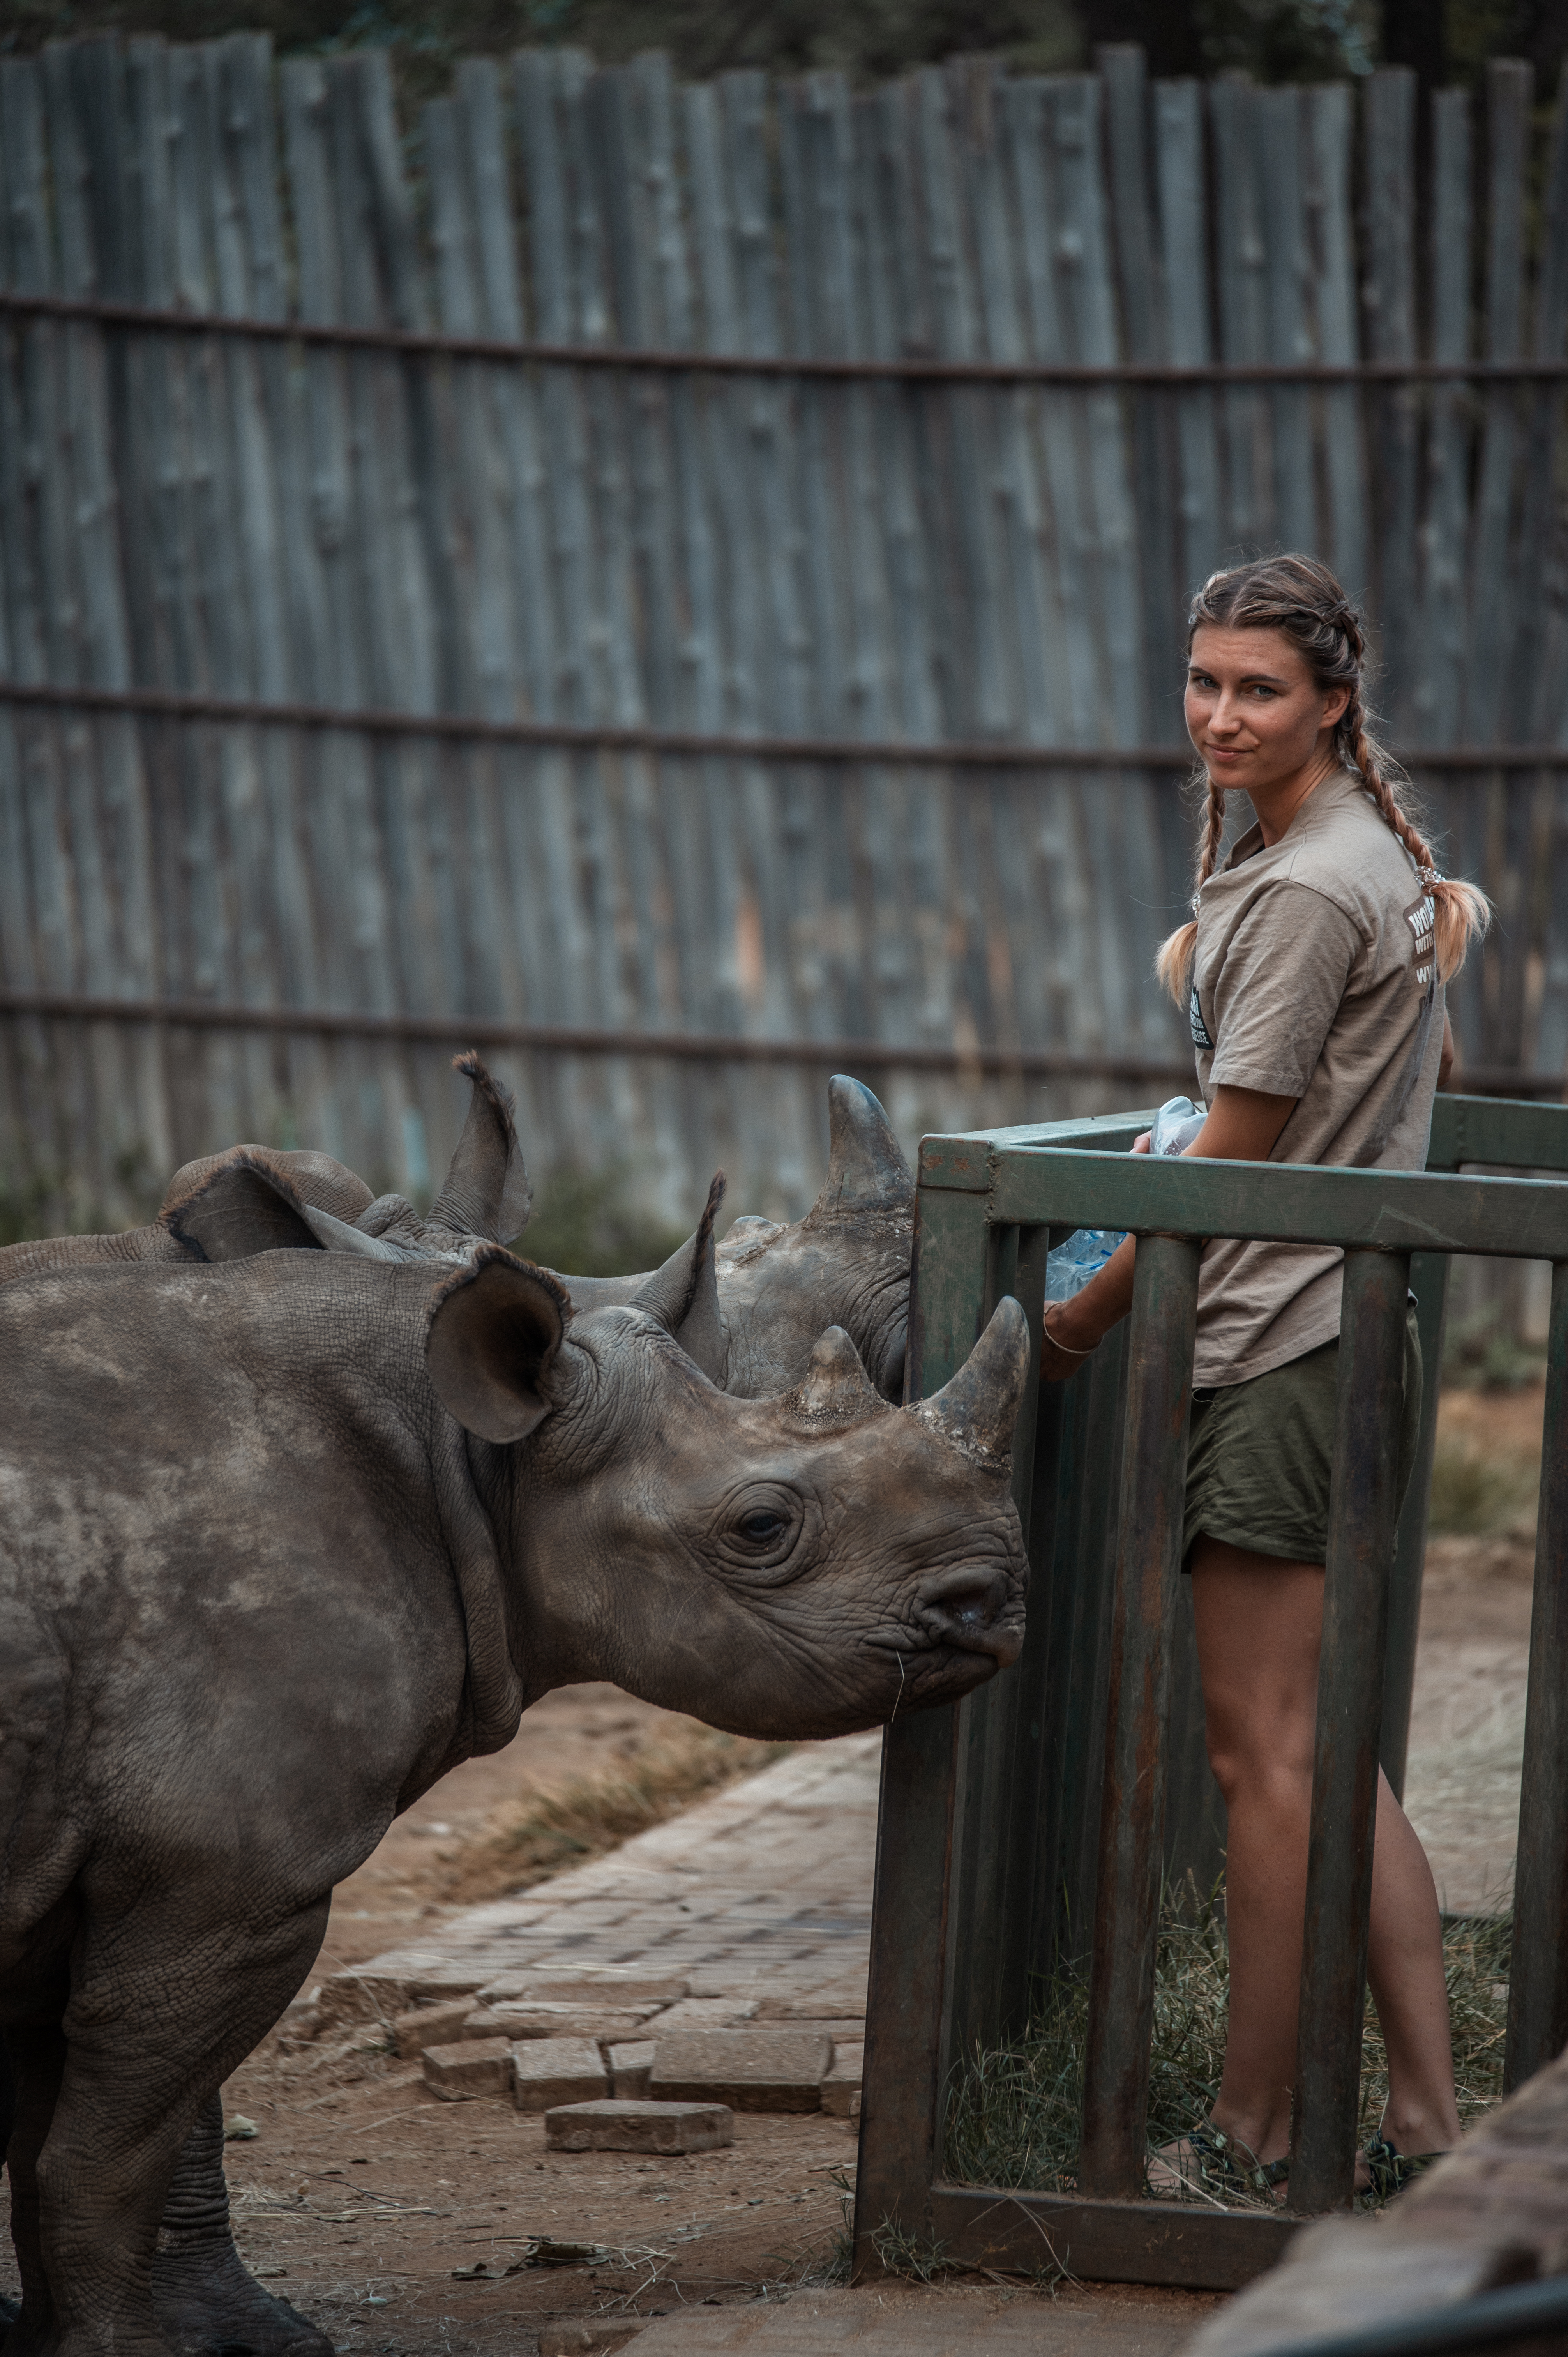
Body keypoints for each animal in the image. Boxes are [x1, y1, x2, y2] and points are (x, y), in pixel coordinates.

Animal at [0, 1183, 1020, 2357]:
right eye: (763, 1528)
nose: (996, 1601)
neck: (473, 1462)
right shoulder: (222, 1888)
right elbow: (107, 2160)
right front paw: (119, 2351)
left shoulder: (75, 1860)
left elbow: (44, 2145)